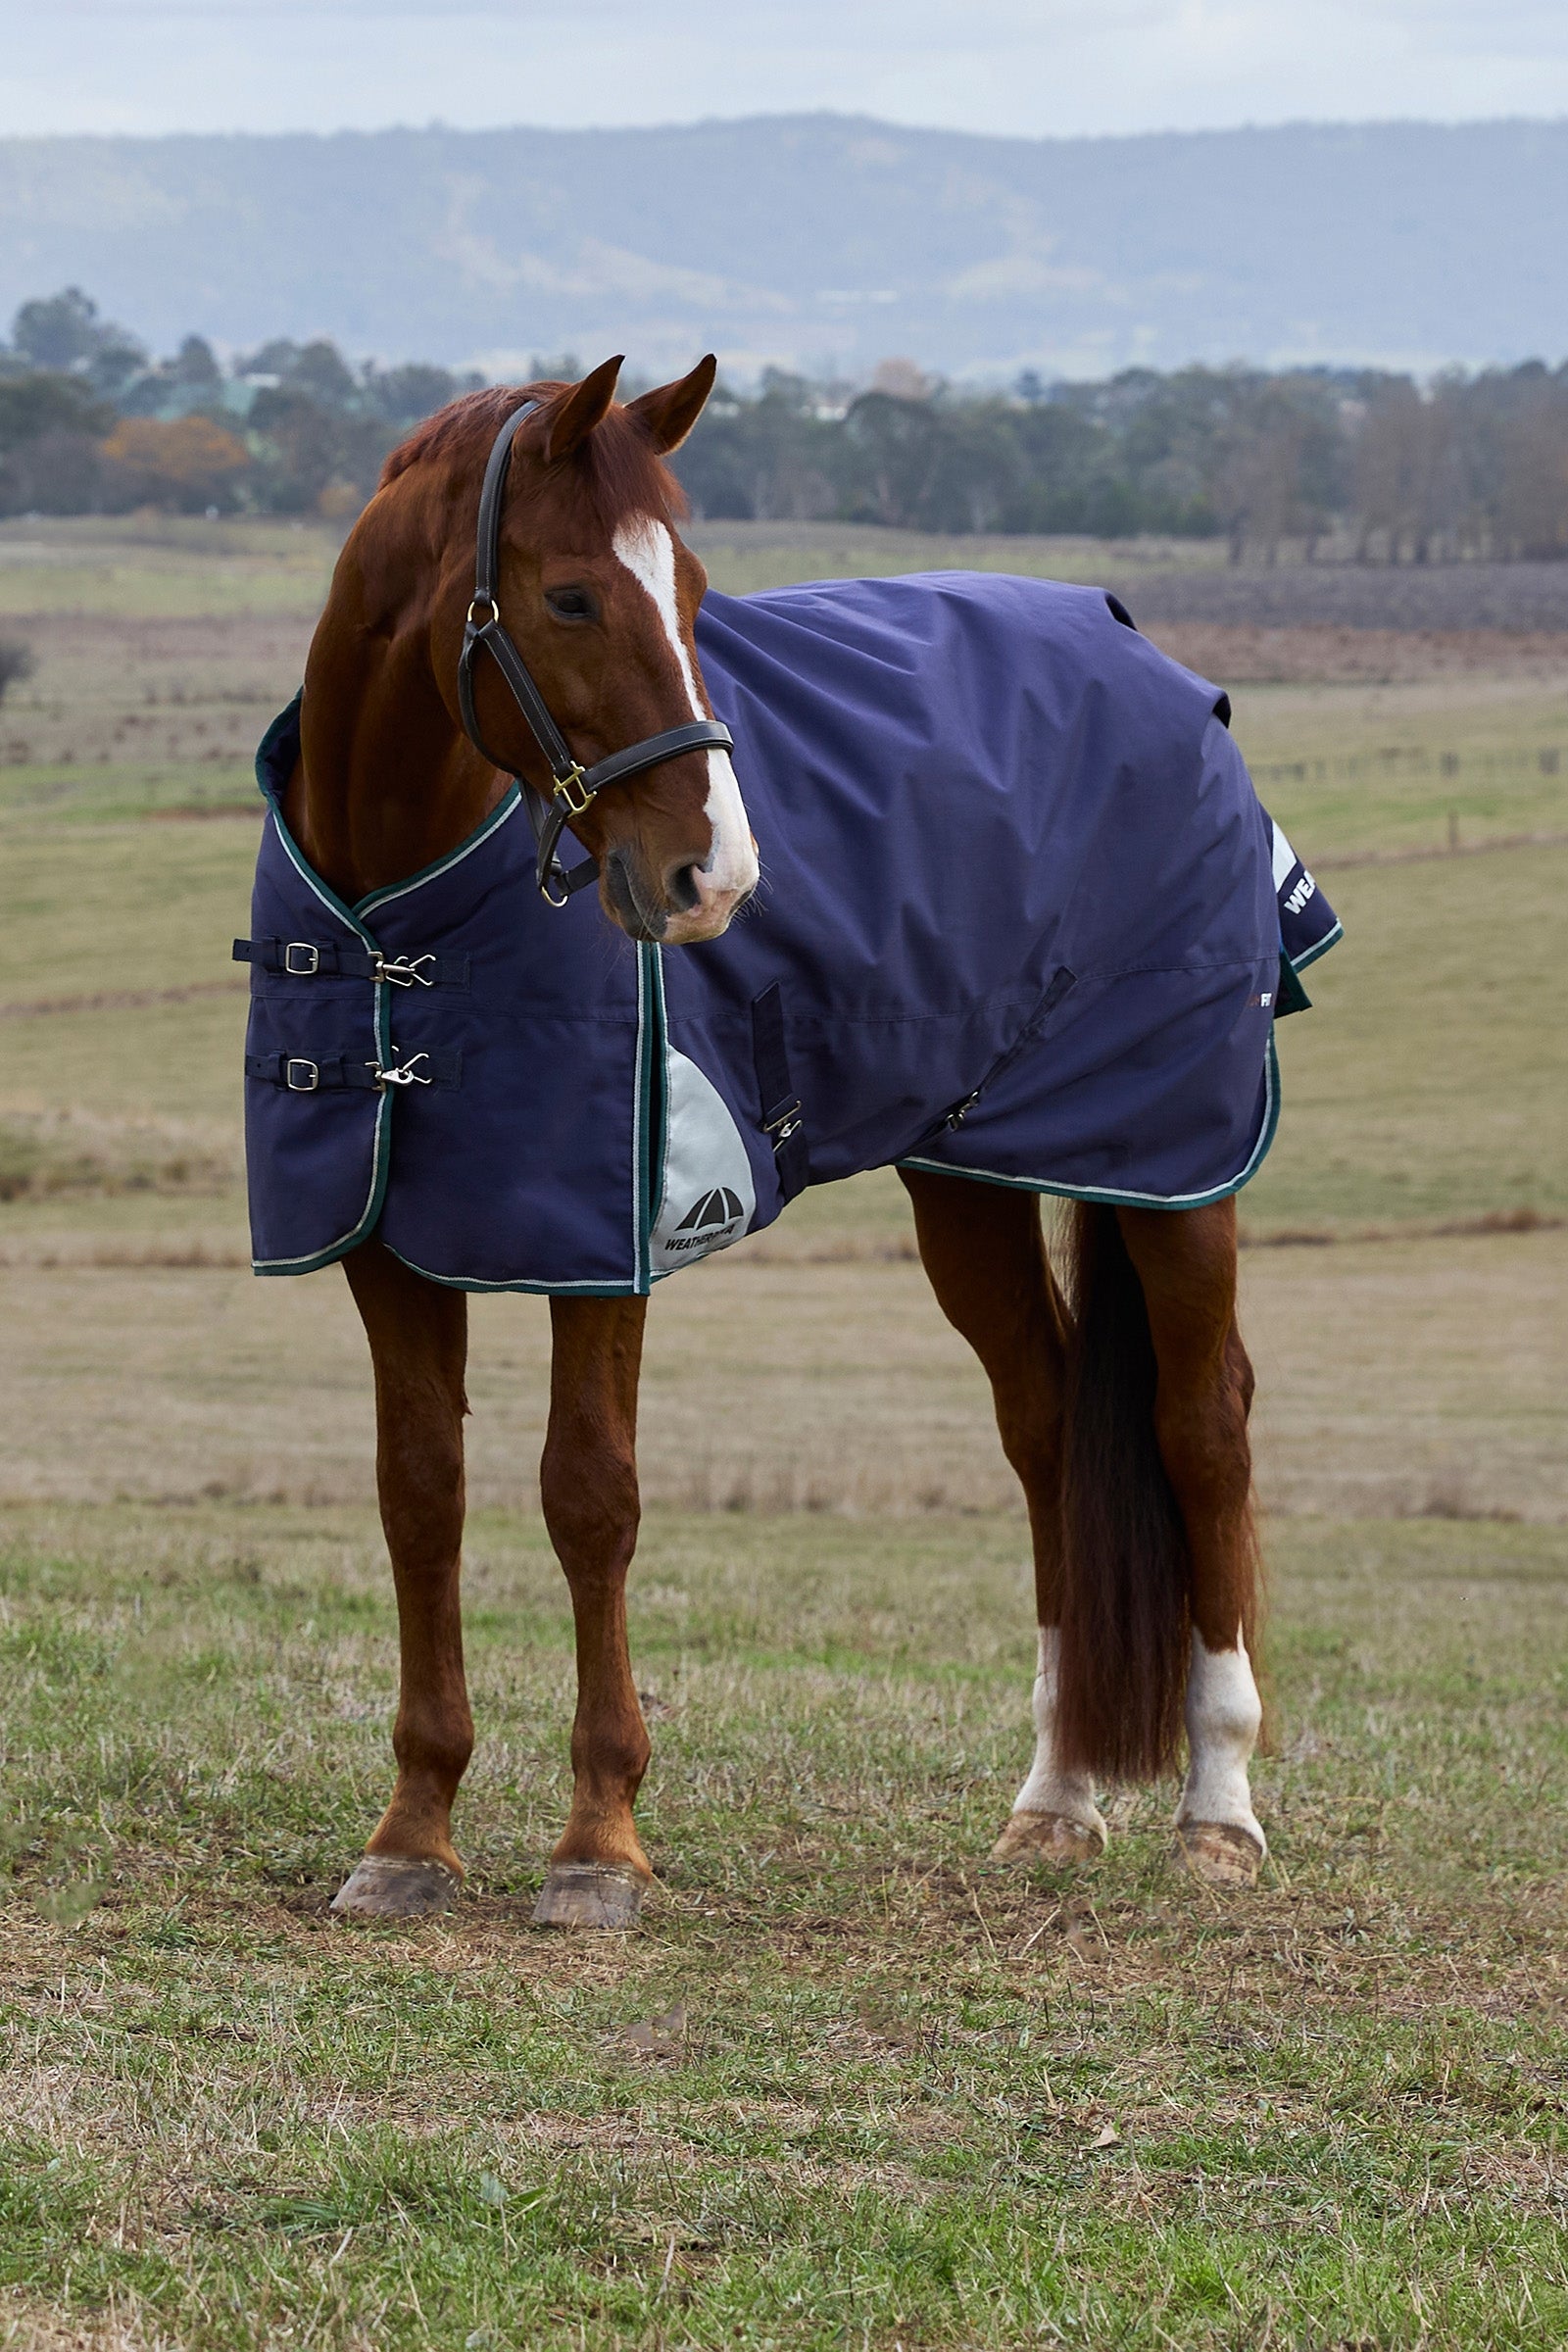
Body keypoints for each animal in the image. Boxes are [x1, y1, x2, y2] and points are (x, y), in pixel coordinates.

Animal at [253, 354, 1285, 1929]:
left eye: (692, 594)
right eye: (570, 598)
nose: (715, 876)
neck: (401, 916)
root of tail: (1144, 657)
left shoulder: (604, 1243)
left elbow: (589, 1498)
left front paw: (599, 1842)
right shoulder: (389, 1242)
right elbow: (420, 1495)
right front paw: (413, 1832)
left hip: (1173, 1163)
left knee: (1202, 1425)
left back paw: (1218, 1805)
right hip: (968, 1183)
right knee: (1049, 1429)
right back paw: (1055, 1794)